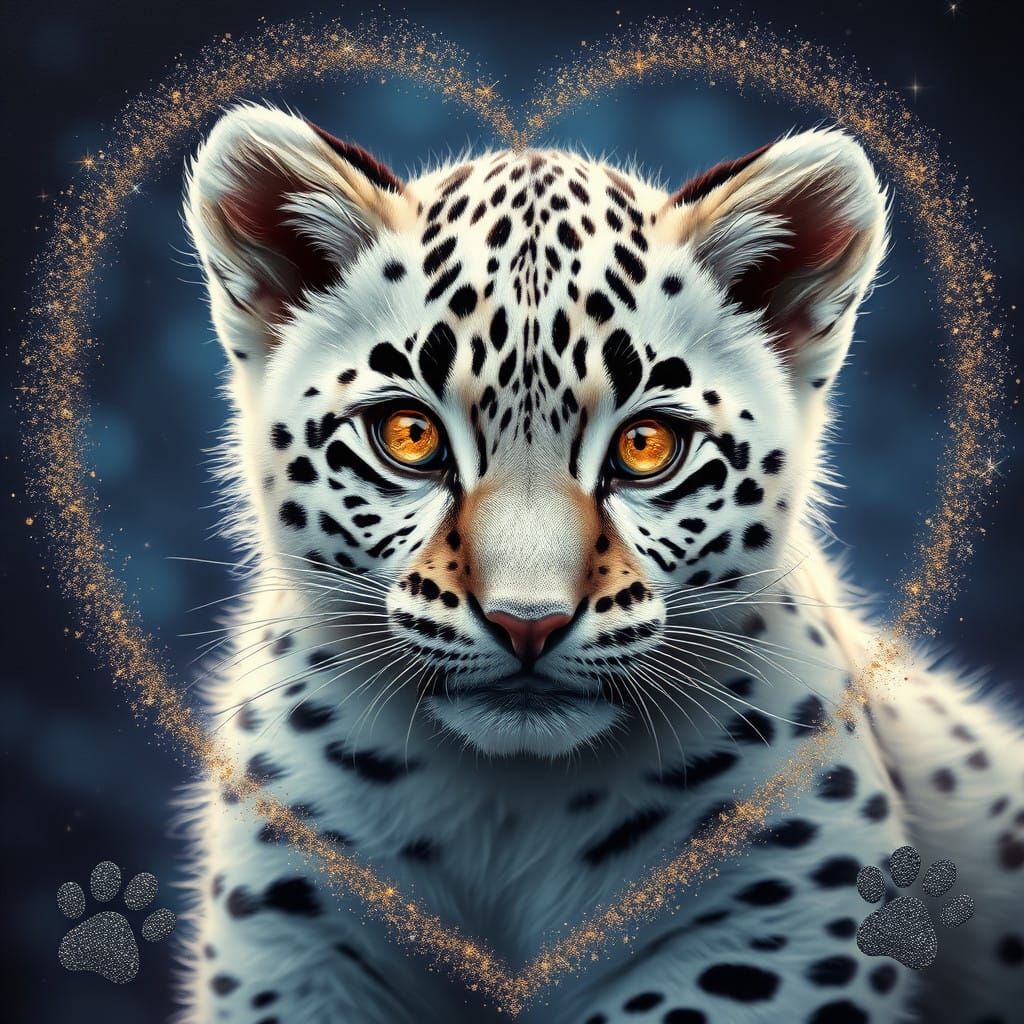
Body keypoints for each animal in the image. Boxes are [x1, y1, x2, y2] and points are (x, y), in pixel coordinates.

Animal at [177, 104, 1024, 1023]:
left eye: (646, 445)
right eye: (409, 434)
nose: (528, 624)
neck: (506, 810)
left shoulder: (782, 920)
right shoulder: (294, 934)